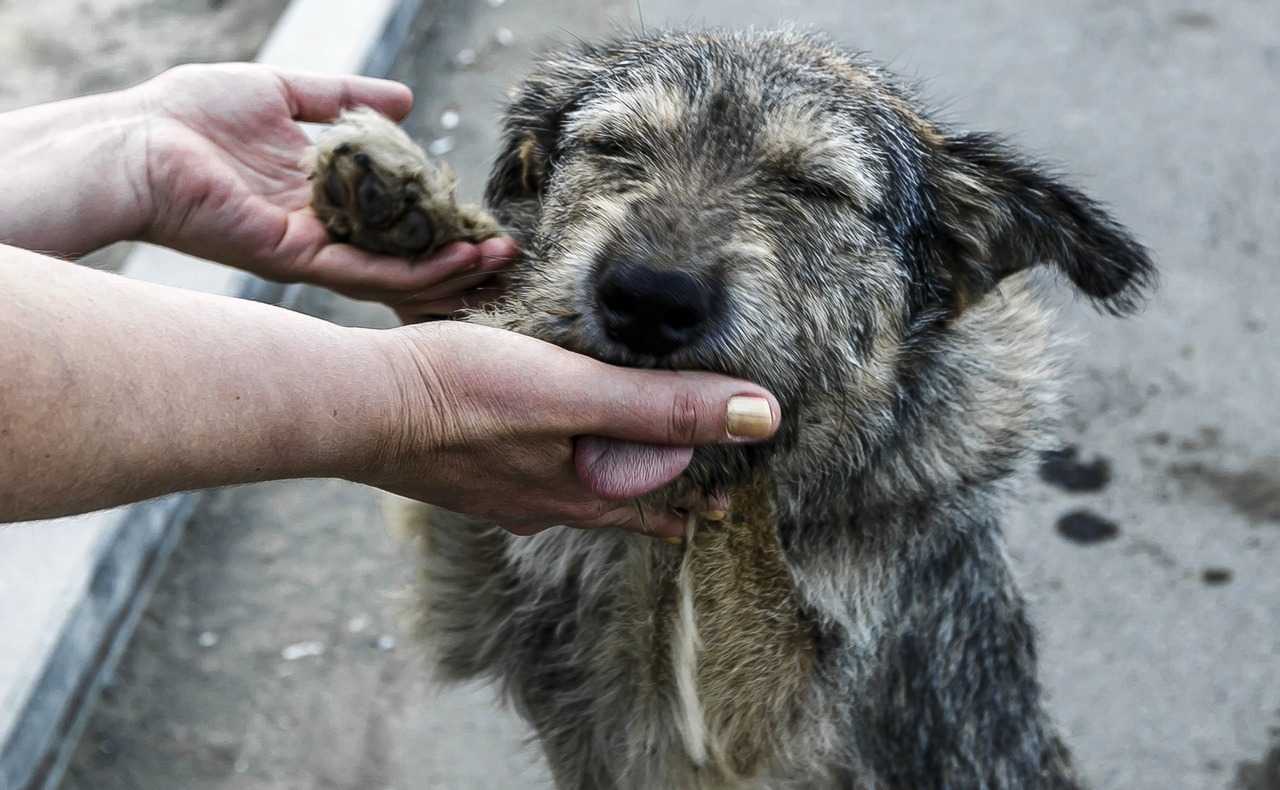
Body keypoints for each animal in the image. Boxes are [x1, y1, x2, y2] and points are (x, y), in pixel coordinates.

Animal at [304, 27, 1157, 783]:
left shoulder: (752, 731)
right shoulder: (476, 603)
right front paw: (407, 204)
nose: (649, 299)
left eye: (815, 189)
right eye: (615, 146)